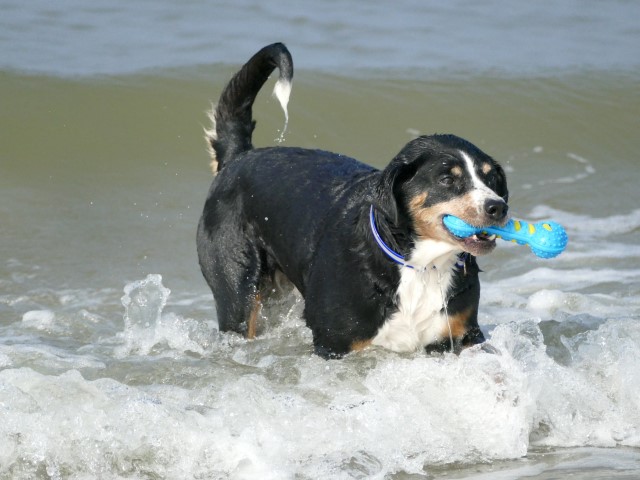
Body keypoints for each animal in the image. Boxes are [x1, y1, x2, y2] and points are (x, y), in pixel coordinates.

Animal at [197, 43, 509, 359]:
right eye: (447, 179)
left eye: (492, 179)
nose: (497, 207)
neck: (422, 266)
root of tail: (239, 157)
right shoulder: (334, 343)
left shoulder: (462, 335)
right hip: (238, 293)